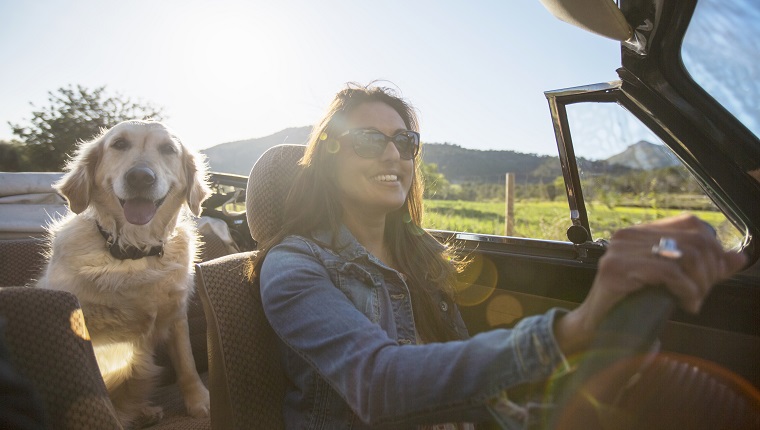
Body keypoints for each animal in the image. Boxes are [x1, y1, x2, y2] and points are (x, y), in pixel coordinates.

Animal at [37, 119, 211, 428]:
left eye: (168, 149)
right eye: (119, 144)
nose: (140, 177)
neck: (133, 249)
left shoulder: (177, 314)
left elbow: (187, 363)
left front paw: (198, 401)